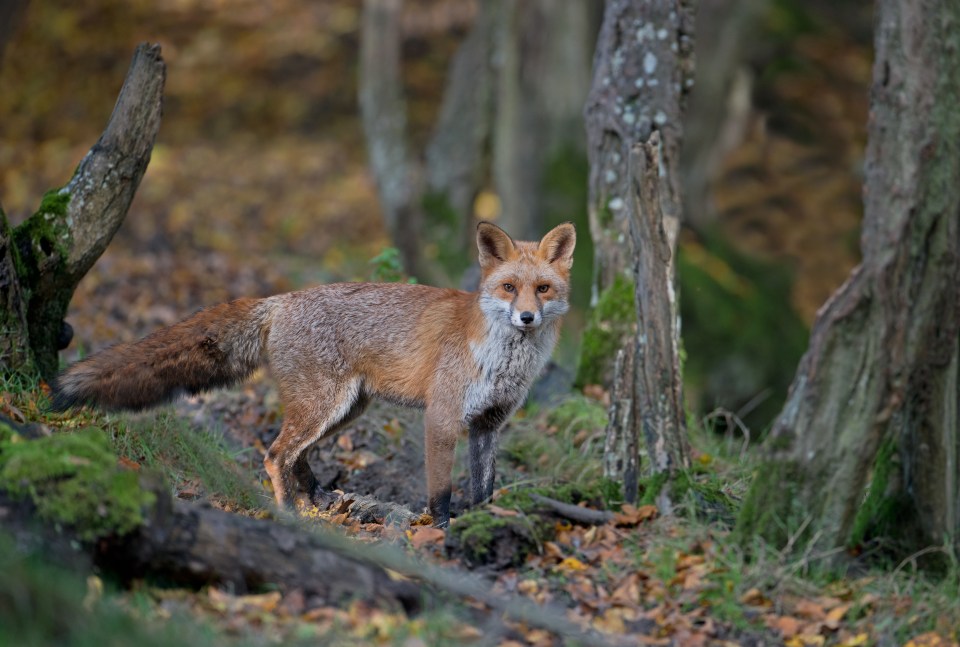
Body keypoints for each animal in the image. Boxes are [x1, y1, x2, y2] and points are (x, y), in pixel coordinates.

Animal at [52, 221, 572, 528]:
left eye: (543, 289)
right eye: (509, 288)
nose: (527, 318)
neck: (501, 359)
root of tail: (280, 300)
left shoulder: (488, 423)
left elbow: (484, 487)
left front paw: (485, 524)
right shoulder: (442, 417)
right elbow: (441, 491)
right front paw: (441, 532)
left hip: (344, 408)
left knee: (296, 455)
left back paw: (317, 496)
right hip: (326, 405)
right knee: (275, 454)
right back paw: (289, 512)